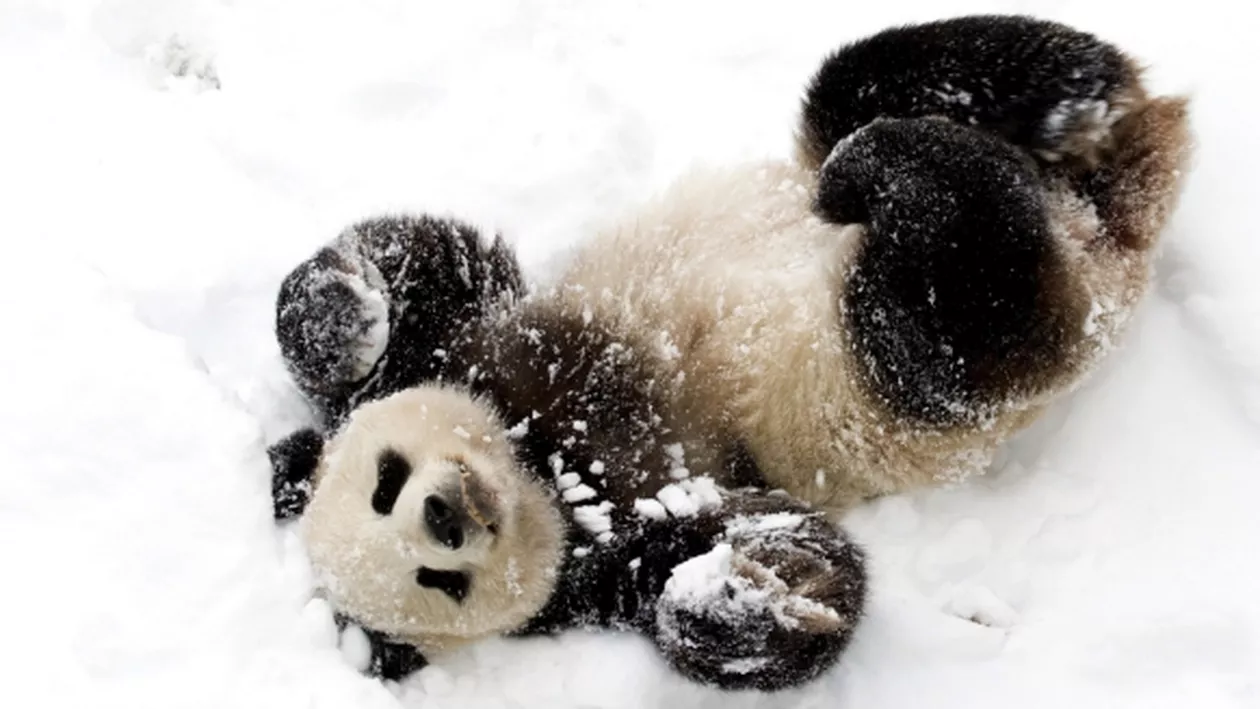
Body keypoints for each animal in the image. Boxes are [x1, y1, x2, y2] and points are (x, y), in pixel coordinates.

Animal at [266, 14, 1192, 693]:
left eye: (385, 481)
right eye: (439, 582)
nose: (446, 515)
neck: (542, 458)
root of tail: (1105, 224)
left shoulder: (477, 343)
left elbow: (428, 261)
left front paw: (342, 315)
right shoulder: (615, 543)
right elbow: (788, 557)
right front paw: (735, 595)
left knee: (866, 84)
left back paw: (1055, 102)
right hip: (910, 368)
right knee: (958, 309)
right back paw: (926, 168)